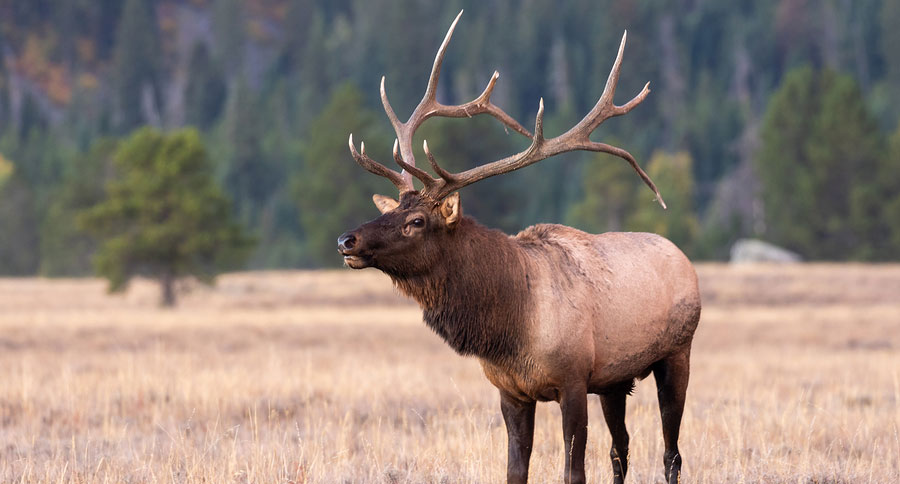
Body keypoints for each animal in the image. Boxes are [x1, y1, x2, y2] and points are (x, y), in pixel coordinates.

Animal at [338, 10, 704, 484]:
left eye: (416, 221)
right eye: (393, 210)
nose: (347, 240)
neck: (510, 328)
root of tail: (682, 258)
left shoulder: (572, 380)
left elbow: (573, 472)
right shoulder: (510, 391)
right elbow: (515, 471)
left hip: (677, 352)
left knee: (671, 452)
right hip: (615, 379)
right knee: (621, 449)